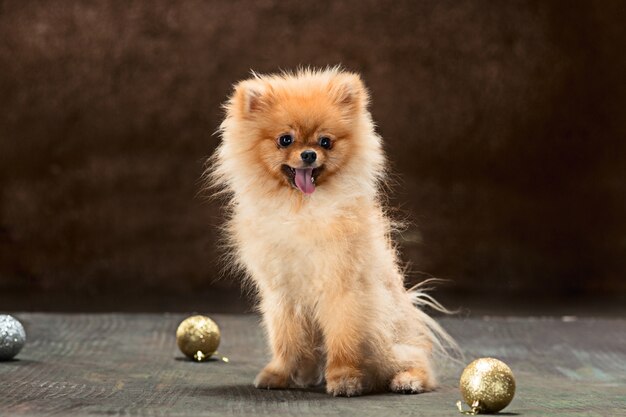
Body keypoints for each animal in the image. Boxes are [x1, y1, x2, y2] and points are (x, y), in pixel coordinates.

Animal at [207, 66, 456, 394]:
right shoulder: (282, 295)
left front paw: (344, 378)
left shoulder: (343, 287)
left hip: (387, 335)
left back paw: (408, 379)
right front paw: (280, 374)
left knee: (414, 358)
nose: (309, 154)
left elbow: (344, 338)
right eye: (285, 140)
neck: (301, 208)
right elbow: (286, 340)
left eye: (325, 142)